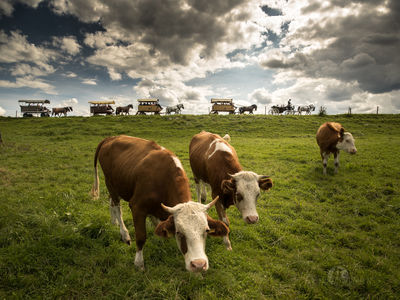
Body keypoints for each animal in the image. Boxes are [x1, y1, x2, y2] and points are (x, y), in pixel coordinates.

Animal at [90, 135, 228, 272]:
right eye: (179, 232)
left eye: (206, 230)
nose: (198, 264)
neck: (163, 179)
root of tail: (112, 137)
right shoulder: (137, 207)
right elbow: (141, 237)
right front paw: (139, 263)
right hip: (110, 183)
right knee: (117, 207)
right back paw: (124, 234)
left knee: (112, 202)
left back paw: (114, 221)